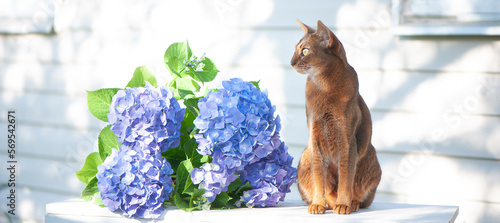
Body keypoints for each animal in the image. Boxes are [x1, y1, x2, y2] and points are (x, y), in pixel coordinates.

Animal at [292, 20, 380, 214]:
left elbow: (346, 178)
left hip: (371, 160)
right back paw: (324, 203)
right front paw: (317, 203)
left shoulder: (347, 141)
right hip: (305, 155)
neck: (323, 87)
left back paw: (351, 203)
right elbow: (319, 176)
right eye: (295, 49)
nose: (291, 62)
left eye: (305, 51)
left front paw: (344, 204)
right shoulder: (315, 138)